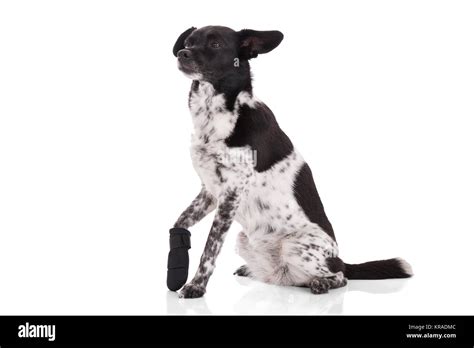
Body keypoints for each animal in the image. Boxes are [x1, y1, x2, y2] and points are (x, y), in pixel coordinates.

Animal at [170, 25, 412, 298]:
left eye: (215, 44)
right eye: (189, 42)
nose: (182, 53)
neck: (216, 116)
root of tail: (340, 258)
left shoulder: (231, 195)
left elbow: (211, 248)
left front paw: (196, 285)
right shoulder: (210, 192)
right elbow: (181, 221)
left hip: (296, 246)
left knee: (341, 277)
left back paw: (323, 282)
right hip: (245, 241)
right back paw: (254, 271)